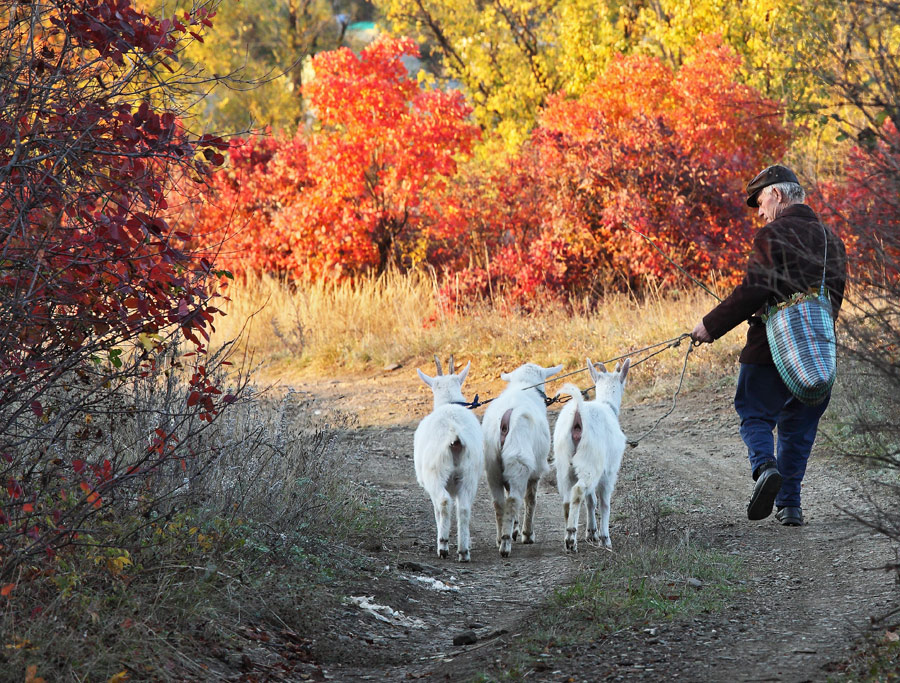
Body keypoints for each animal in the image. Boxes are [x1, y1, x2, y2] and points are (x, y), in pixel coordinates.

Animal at [414, 358, 486, 560]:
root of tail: (454, 435)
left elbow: (437, 510)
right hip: (469, 473)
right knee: (464, 507)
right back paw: (464, 551)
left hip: (436, 472)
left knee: (444, 502)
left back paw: (443, 546)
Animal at [482, 364, 560, 556]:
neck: (523, 385)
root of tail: (505, 421)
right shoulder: (535, 471)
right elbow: (531, 499)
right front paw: (526, 534)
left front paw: (515, 529)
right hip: (519, 463)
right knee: (513, 501)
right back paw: (505, 544)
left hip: (493, 465)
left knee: (499, 503)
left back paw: (500, 537)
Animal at [552, 360, 628, 552]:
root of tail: (578, 413)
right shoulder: (609, 472)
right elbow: (604, 503)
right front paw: (604, 538)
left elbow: (591, 500)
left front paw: (591, 532)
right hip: (590, 460)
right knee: (578, 490)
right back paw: (571, 538)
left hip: (565, 463)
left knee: (568, 496)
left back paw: (569, 533)